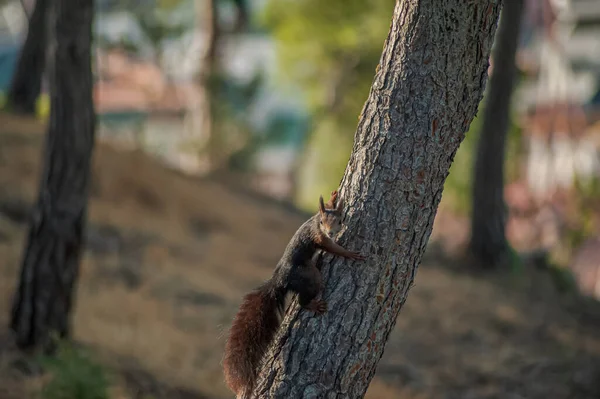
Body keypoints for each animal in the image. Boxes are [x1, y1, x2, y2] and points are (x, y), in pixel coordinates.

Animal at [224, 191, 368, 399]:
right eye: (323, 222)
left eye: (340, 220)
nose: (331, 232)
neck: (315, 222)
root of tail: (280, 279)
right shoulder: (319, 237)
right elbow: (332, 248)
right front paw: (349, 253)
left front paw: (333, 197)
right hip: (310, 277)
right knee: (302, 298)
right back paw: (312, 304)